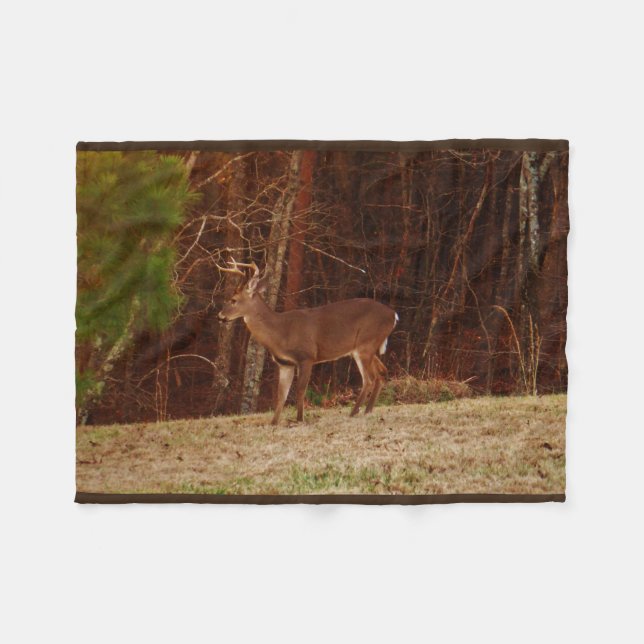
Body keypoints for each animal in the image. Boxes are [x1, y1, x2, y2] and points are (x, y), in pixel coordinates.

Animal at [217, 258, 398, 425]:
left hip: (366, 344)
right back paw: (367, 411)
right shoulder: (285, 363)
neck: (281, 332)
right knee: (381, 373)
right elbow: (281, 395)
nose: (220, 316)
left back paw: (353, 413)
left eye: (233, 299)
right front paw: (274, 422)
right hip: (363, 348)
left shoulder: (306, 356)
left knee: (369, 379)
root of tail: (393, 315)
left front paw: (299, 419)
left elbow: (300, 390)